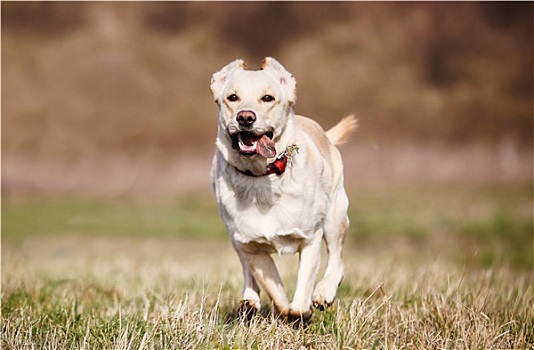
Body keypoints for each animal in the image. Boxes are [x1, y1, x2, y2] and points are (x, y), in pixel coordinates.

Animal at [211, 57, 358, 322]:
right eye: (232, 98)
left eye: (268, 98)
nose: (245, 117)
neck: (261, 176)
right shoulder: (252, 247)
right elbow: (274, 289)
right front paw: (283, 309)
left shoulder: (310, 239)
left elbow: (302, 291)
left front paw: (302, 311)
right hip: (234, 237)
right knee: (246, 270)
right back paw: (249, 301)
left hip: (335, 216)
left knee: (337, 259)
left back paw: (324, 293)